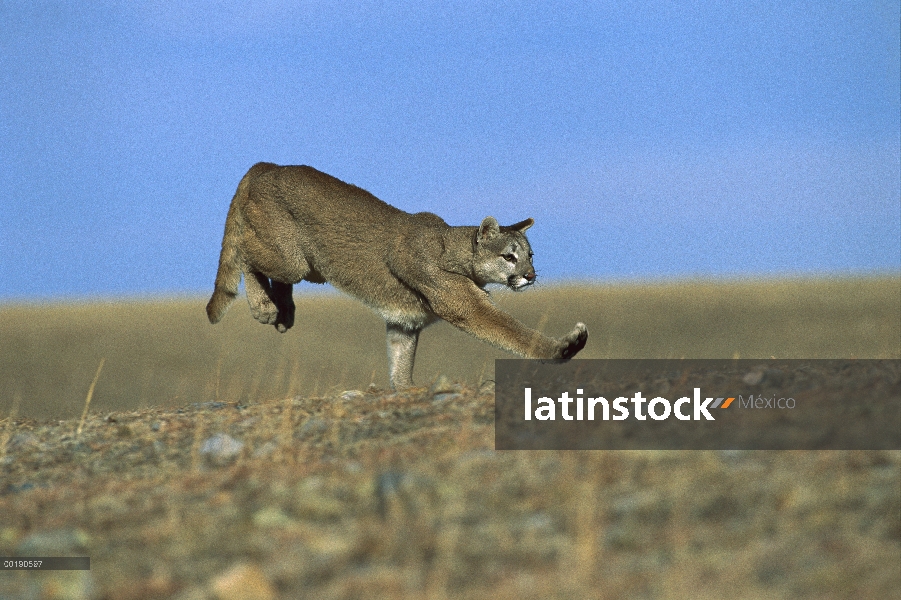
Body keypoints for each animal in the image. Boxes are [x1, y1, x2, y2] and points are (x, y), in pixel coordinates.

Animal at [205, 163, 588, 390]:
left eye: (530, 255)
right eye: (509, 256)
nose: (530, 275)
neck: (454, 250)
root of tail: (266, 166)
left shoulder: (405, 324)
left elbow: (400, 362)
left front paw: (404, 387)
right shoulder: (466, 306)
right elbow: (511, 331)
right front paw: (563, 347)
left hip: (304, 267)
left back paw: (284, 310)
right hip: (291, 258)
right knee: (244, 252)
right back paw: (265, 308)